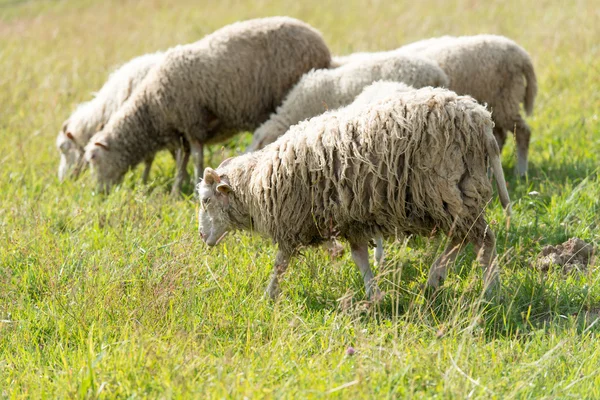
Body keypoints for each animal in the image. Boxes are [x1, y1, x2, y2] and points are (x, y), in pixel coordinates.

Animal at [83, 18, 332, 193]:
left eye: (93, 158)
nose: (98, 193)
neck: (151, 109)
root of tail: (320, 41)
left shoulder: (192, 123)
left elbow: (195, 159)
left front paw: (195, 184)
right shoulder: (180, 133)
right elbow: (181, 162)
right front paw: (177, 189)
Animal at [197, 85, 510, 304]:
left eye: (206, 200)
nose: (202, 236)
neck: (255, 182)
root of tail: (481, 119)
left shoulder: (291, 222)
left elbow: (280, 264)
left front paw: (268, 296)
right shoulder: (351, 220)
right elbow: (360, 259)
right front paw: (374, 295)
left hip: (448, 188)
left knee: (483, 240)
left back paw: (491, 291)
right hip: (455, 194)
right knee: (462, 236)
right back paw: (436, 278)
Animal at [332, 34, 540, 177]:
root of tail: (522, 55)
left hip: (505, 99)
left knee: (522, 132)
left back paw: (521, 172)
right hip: (495, 104)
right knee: (499, 136)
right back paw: (490, 171)